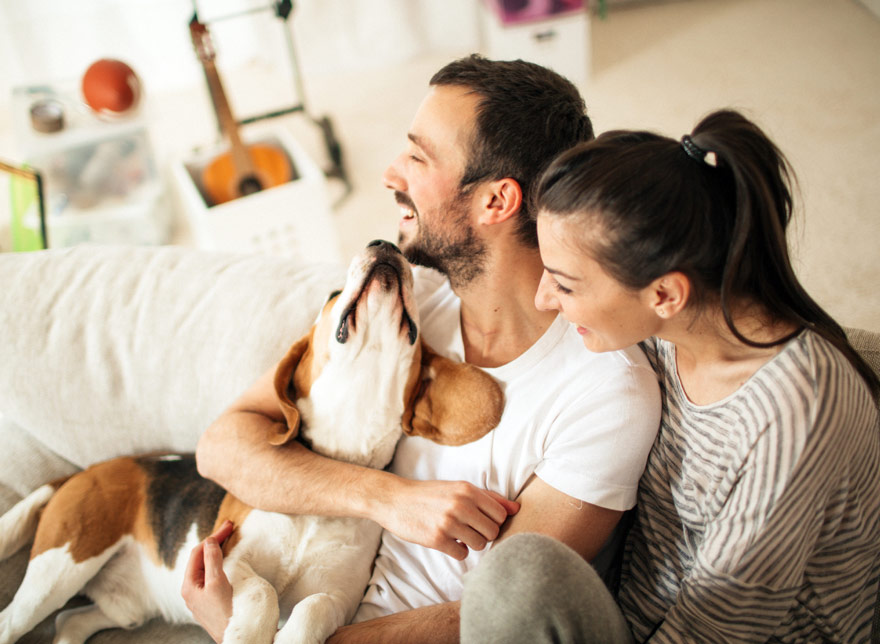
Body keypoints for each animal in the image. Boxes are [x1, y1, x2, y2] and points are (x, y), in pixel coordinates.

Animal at [0, 242, 502, 644]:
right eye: (331, 295)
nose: (384, 244)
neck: (332, 471)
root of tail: (90, 471)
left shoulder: (339, 598)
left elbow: (312, 607)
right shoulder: (226, 558)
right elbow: (261, 591)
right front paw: (246, 632)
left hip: (121, 607)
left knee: (69, 622)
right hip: (61, 566)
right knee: (16, 619)